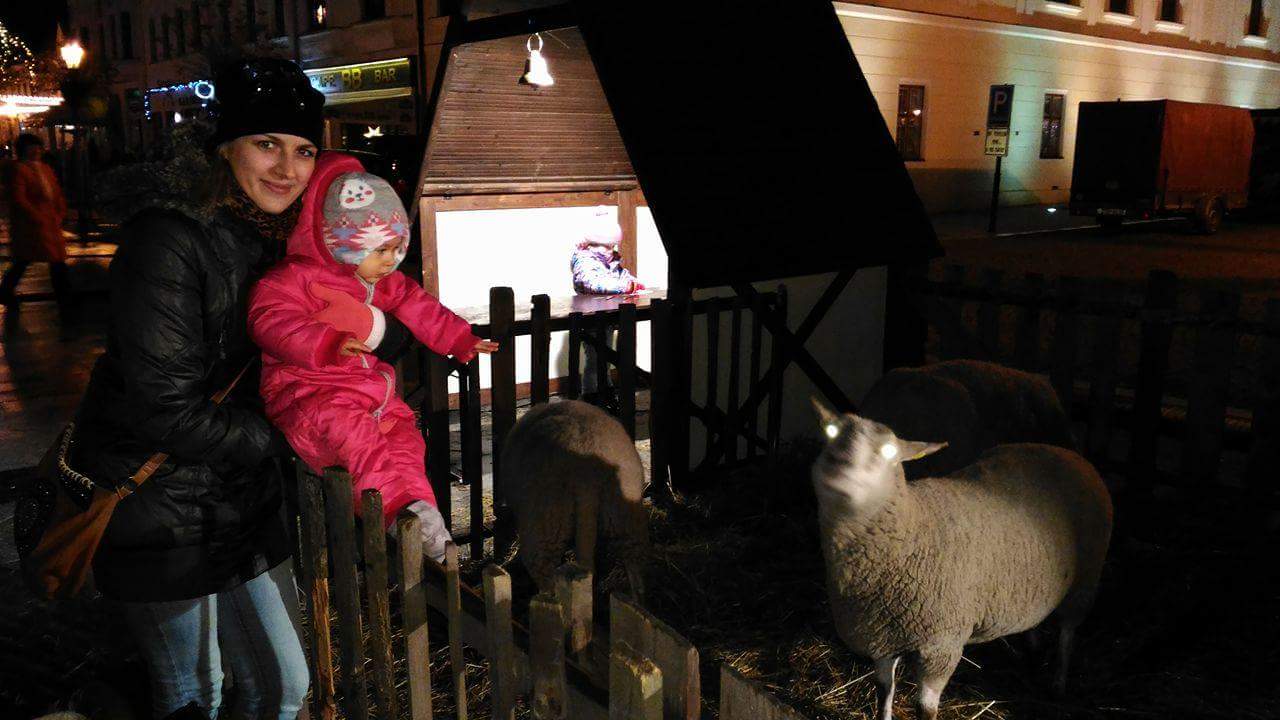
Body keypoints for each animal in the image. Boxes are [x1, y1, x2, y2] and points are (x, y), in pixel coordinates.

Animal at [501, 399, 648, 598]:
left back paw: (548, 599)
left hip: (548, 517)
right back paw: (637, 600)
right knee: (635, 567)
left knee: (541, 566)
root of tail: (586, 471)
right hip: (623, 515)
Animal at [811, 403, 1112, 720]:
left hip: (1086, 579)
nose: (838, 465)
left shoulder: (943, 644)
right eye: (830, 433)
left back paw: (1059, 682)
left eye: (889, 450)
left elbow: (925, 708)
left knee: (1068, 631)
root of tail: (1066, 451)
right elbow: (884, 691)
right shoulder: (881, 635)